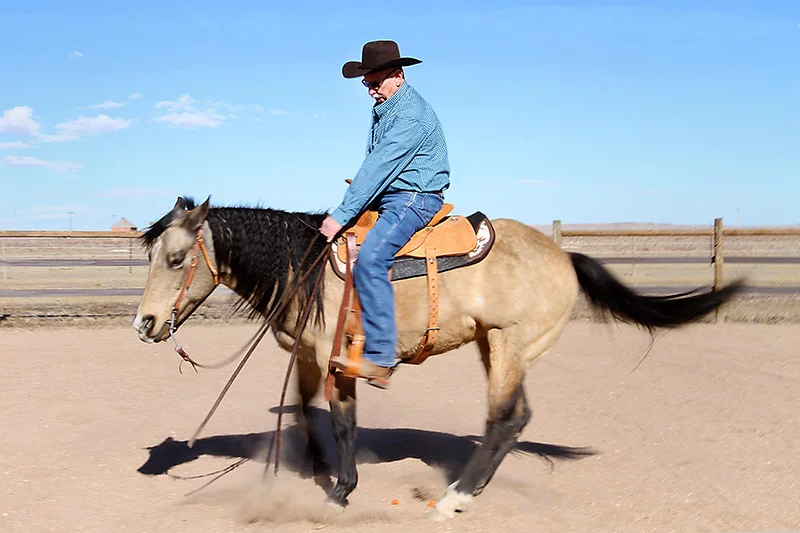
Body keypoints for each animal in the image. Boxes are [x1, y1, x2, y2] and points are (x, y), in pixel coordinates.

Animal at [133, 197, 742, 520]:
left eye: (178, 258)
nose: (145, 324)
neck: (304, 266)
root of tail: (563, 255)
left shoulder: (339, 357)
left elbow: (344, 419)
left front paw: (341, 489)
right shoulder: (307, 356)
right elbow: (307, 411)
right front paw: (317, 468)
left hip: (509, 347)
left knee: (503, 420)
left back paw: (455, 498)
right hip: (494, 346)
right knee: (517, 419)